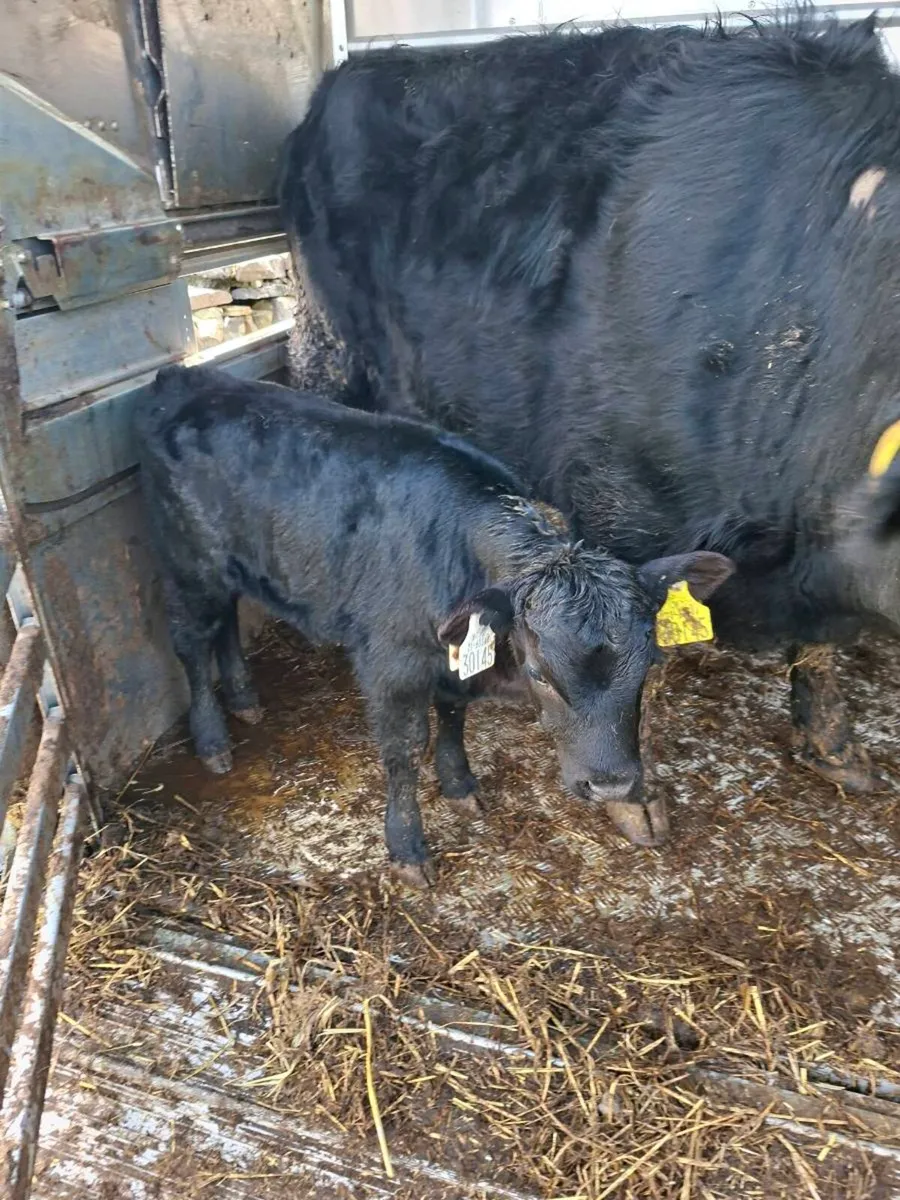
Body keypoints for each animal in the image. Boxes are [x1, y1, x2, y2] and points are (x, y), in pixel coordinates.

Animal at [135, 365, 733, 885]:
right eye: (540, 674)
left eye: (648, 665)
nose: (612, 786)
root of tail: (185, 375)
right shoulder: (388, 664)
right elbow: (404, 750)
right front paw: (406, 849)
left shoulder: (455, 651)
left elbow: (452, 717)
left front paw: (460, 785)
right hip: (186, 564)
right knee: (192, 643)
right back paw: (213, 739)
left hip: (229, 567)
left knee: (227, 623)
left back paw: (244, 698)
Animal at [279, 14, 900, 839]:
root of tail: (344, 80)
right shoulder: (615, 490)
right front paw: (637, 803)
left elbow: (821, 648)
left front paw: (834, 749)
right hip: (329, 348)